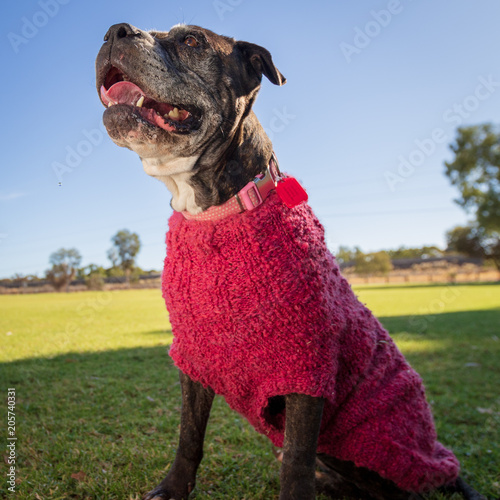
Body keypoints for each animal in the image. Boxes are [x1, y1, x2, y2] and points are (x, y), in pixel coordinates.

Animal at [95, 22, 486, 500]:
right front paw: (172, 489)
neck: (216, 213)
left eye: (192, 41)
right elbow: (189, 437)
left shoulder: (306, 368)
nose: (116, 31)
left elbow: (296, 460)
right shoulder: (194, 358)